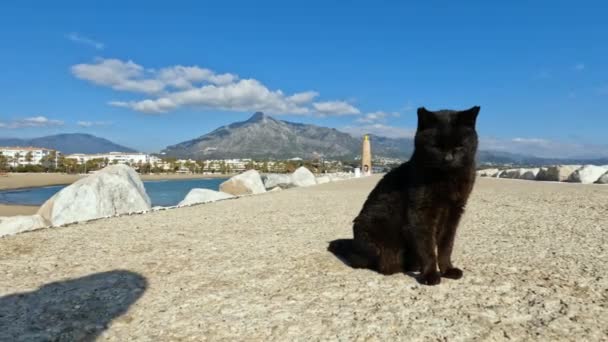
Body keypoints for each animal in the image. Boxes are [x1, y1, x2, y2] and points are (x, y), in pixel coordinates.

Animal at [328, 107, 480, 286]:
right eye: (436, 146)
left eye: (459, 146)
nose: (448, 158)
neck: (446, 178)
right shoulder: (420, 213)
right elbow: (427, 248)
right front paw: (430, 274)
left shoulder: (454, 212)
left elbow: (446, 246)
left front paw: (447, 270)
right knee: (379, 265)